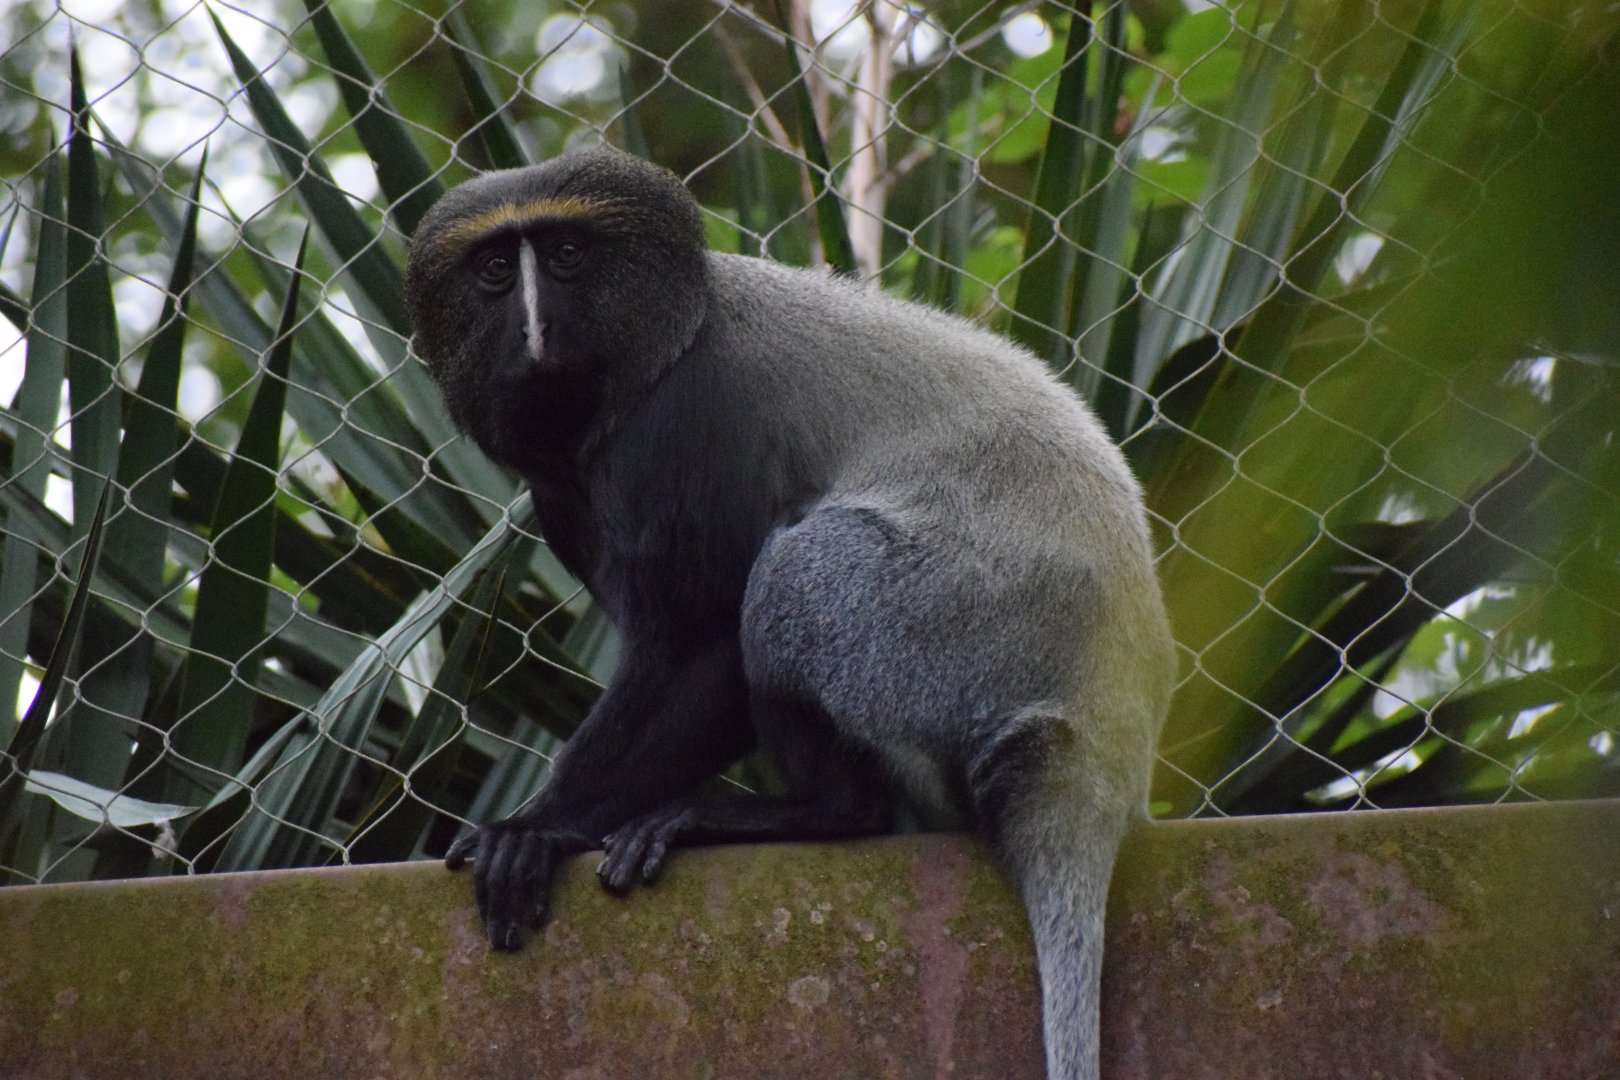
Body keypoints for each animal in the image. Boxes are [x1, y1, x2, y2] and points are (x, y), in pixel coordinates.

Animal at [405, 147, 1174, 1080]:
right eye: (492, 269)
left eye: (565, 256)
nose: (535, 331)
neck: (667, 330)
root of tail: (1100, 749)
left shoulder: (688, 415)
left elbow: (701, 645)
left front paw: (536, 830)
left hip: (941, 632)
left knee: (789, 577)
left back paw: (811, 814)